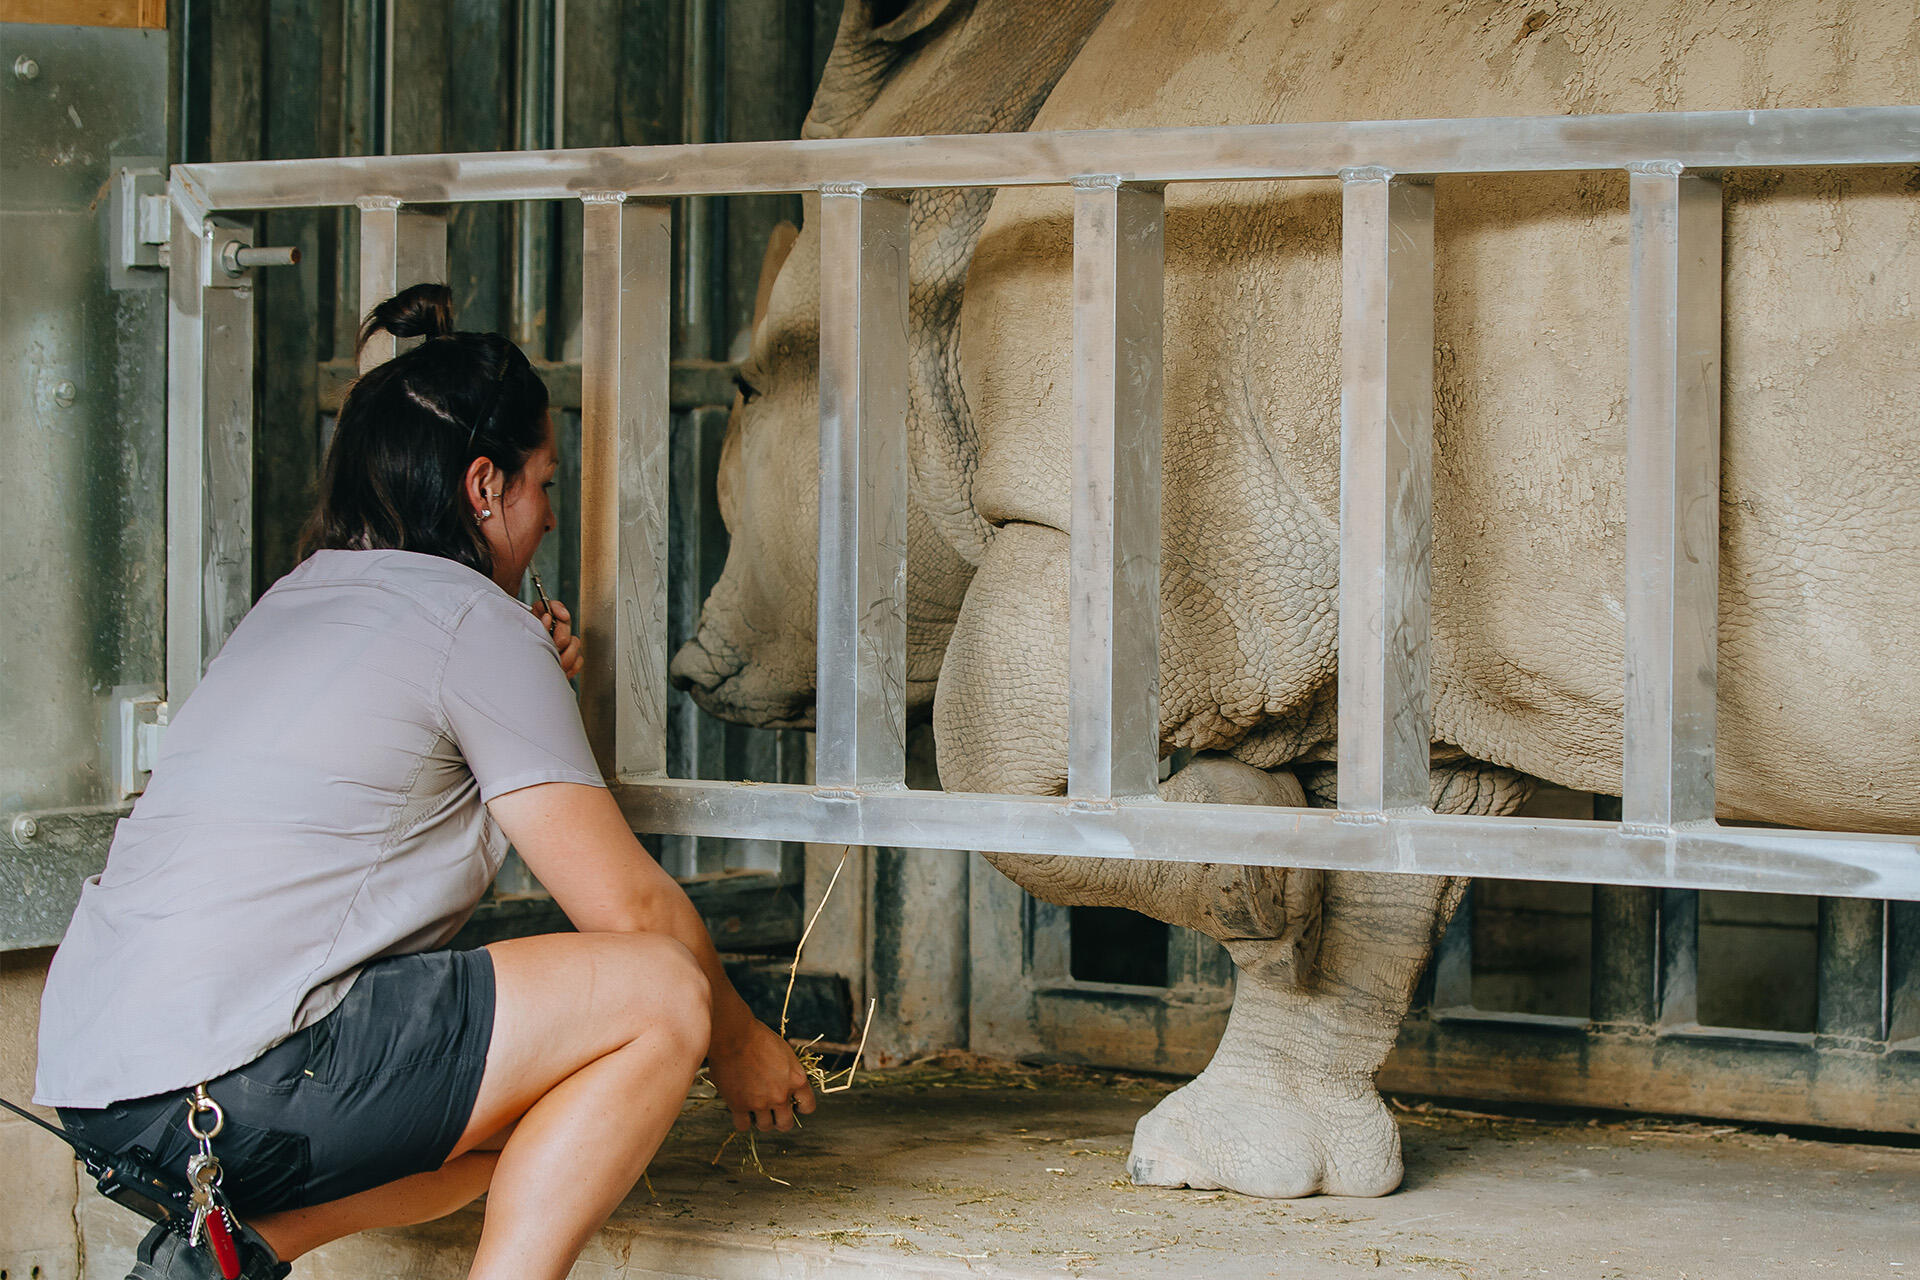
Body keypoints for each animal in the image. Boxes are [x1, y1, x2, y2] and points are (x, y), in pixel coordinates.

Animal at [670, 0, 1920, 1198]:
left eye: (748, 386)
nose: (687, 669)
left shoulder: (1128, 512)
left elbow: (999, 774)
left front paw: (1247, 858)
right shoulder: (1408, 616)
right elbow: (1383, 894)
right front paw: (1241, 1152)